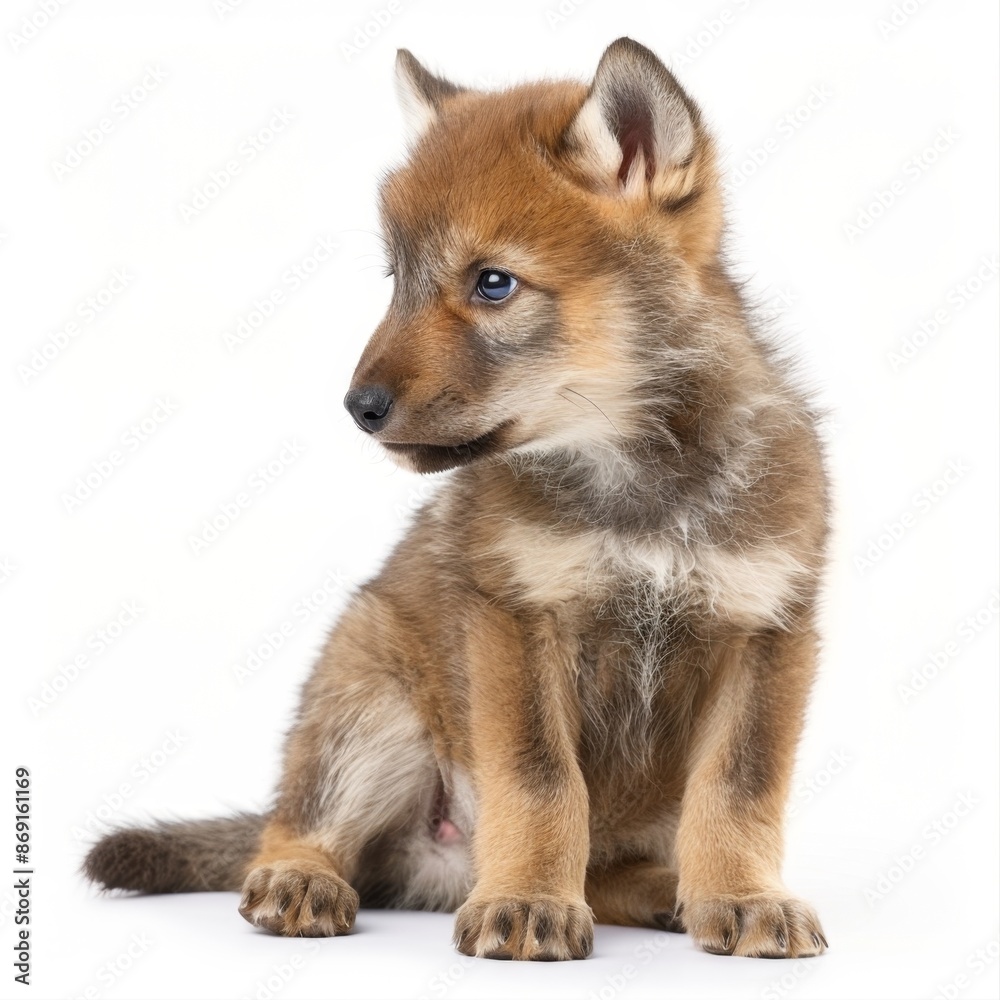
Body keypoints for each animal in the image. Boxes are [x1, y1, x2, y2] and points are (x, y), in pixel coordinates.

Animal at [85, 38, 830, 961]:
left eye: (494, 283)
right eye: (397, 279)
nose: (358, 407)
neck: (639, 485)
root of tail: (435, 871)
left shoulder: (768, 628)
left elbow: (737, 790)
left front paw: (742, 896)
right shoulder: (514, 620)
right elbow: (543, 786)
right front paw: (528, 900)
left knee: (608, 868)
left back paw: (668, 891)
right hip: (373, 703)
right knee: (291, 828)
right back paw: (301, 882)